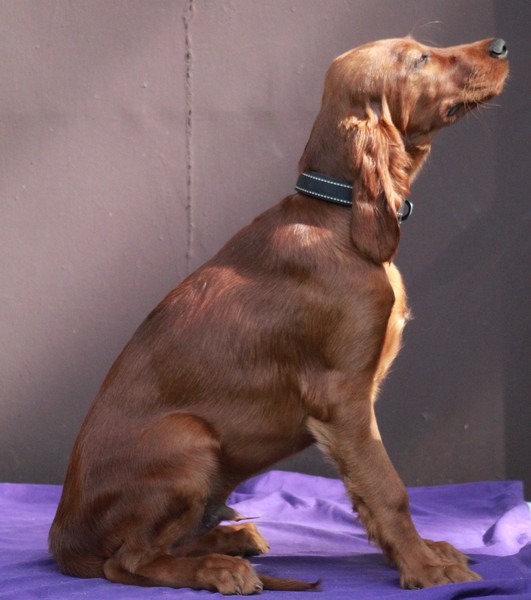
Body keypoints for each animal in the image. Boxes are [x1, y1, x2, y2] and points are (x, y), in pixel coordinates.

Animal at [49, 36, 509, 593]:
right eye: (419, 59)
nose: (502, 46)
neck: (338, 216)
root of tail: (63, 541)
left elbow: (365, 496)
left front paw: (419, 552)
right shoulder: (342, 399)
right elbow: (387, 488)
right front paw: (425, 568)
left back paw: (231, 538)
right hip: (189, 439)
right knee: (128, 561)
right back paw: (219, 568)